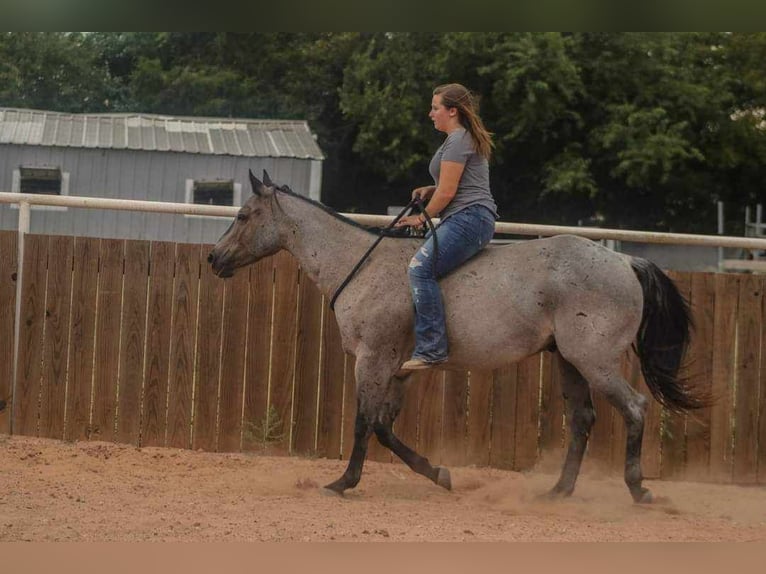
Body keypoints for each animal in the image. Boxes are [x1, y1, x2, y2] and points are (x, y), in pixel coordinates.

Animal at [207, 171, 712, 504]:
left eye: (245, 214)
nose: (214, 257)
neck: (361, 265)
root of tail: (625, 262)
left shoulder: (372, 360)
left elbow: (364, 422)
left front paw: (343, 483)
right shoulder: (399, 370)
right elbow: (385, 427)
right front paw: (439, 474)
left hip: (596, 361)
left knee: (635, 408)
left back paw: (638, 489)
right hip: (569, 361)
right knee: (582, 420)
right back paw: (557, 491)